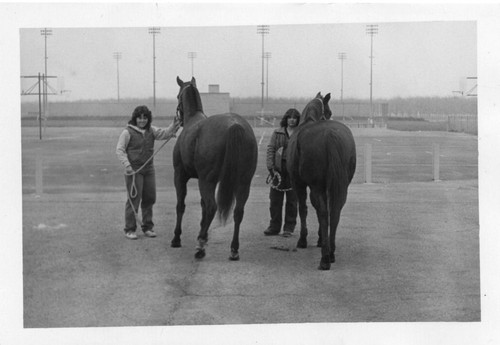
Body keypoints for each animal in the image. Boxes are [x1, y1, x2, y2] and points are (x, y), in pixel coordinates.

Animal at [171, 76, 258, 260]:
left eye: (177, 96)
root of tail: (235, 125)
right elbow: (202, 207)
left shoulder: (180, 176)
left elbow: (181, 205)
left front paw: (177, 238)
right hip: (243, 182)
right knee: (238, 211)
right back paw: (233, 249)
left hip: (207, 181)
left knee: (212, 207)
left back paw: (200, 246)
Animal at [286, 92, 356, 270]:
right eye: (329, 111)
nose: (330, 116)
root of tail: (330, 134)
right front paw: (320, 239)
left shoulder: (300, 184)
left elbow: (303, 209)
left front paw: (303, 240)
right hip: (341, 186)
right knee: (335, 211)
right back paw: (330, 252)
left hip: (316, 187)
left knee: (324, 212)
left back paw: (325, 258)